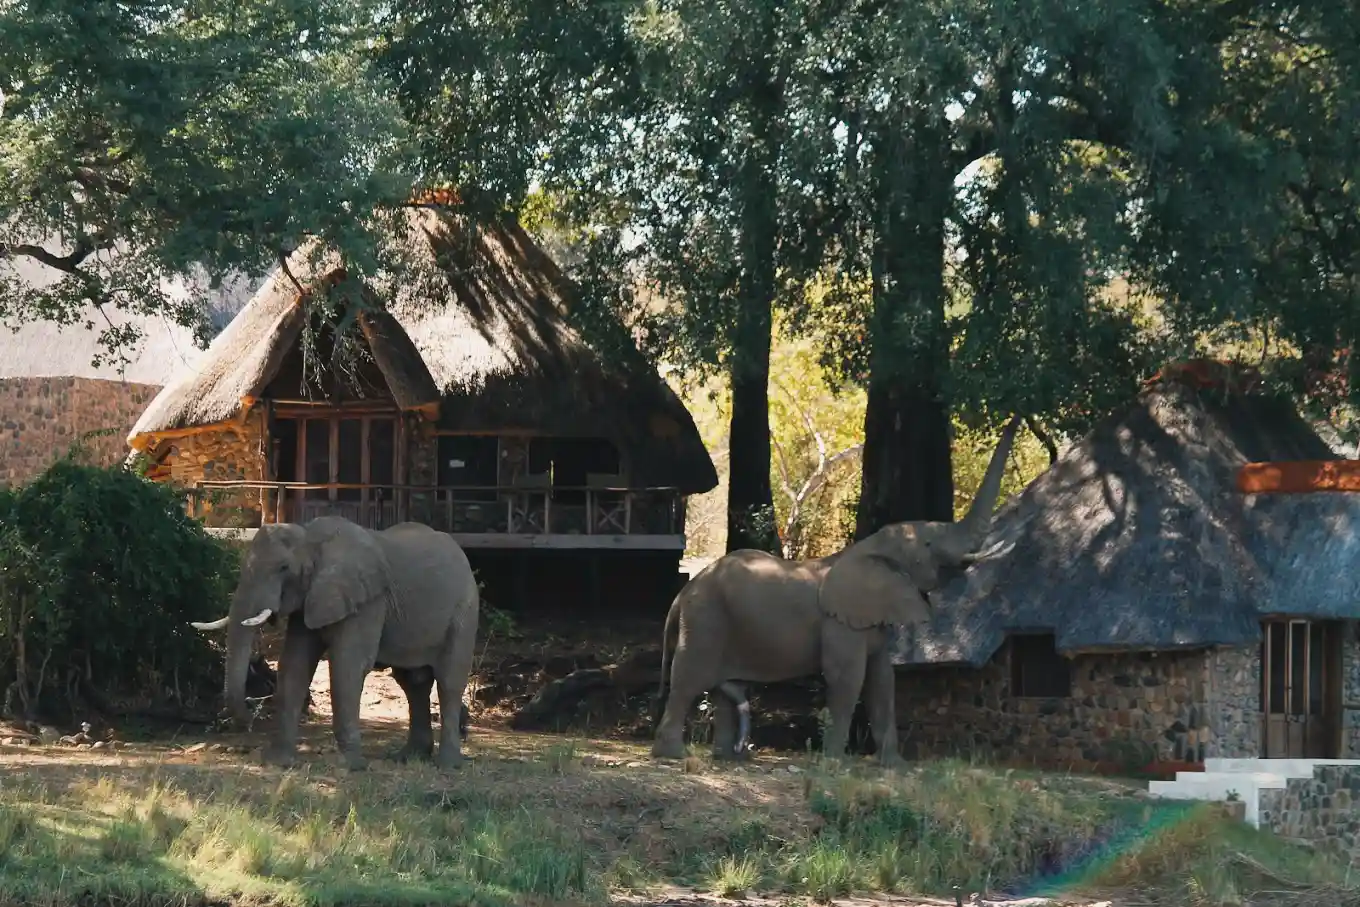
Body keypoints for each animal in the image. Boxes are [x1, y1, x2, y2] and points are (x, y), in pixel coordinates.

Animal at [189, 515, 480, 771]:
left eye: (283, 568)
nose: (251, 717)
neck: (310, 537)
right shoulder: (308, 598)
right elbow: (294, 664)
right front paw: (279, 762)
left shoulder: (367, 601)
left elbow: (347, 665)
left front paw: (349, 766)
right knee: (413, 683)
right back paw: (408, 758)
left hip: (465, 610)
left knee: (448, 681)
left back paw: (448, 765)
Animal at [651, 416, 1022, 764]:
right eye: (929, 545)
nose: (1015, 416)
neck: (871, 548)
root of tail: (683, 593)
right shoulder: (841, 623)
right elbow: (848, 677)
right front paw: (834, 762)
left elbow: (883, 681)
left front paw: (894, 766)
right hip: (704, 618)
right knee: (689, 679)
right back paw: (673, 755)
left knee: (724, 690)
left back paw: (726, 758)